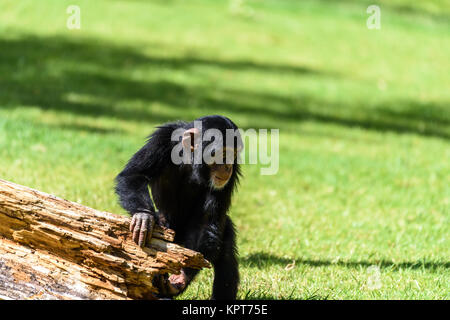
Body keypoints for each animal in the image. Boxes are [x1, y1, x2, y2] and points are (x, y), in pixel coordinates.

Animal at [116, 115, 243, 300]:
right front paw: (143, 216)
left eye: (233, 155)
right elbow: (134, 174)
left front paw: (181, 278)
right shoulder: (162, 139)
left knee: (225, 250)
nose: (228, 167)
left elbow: (206, 221)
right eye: (222, 153)